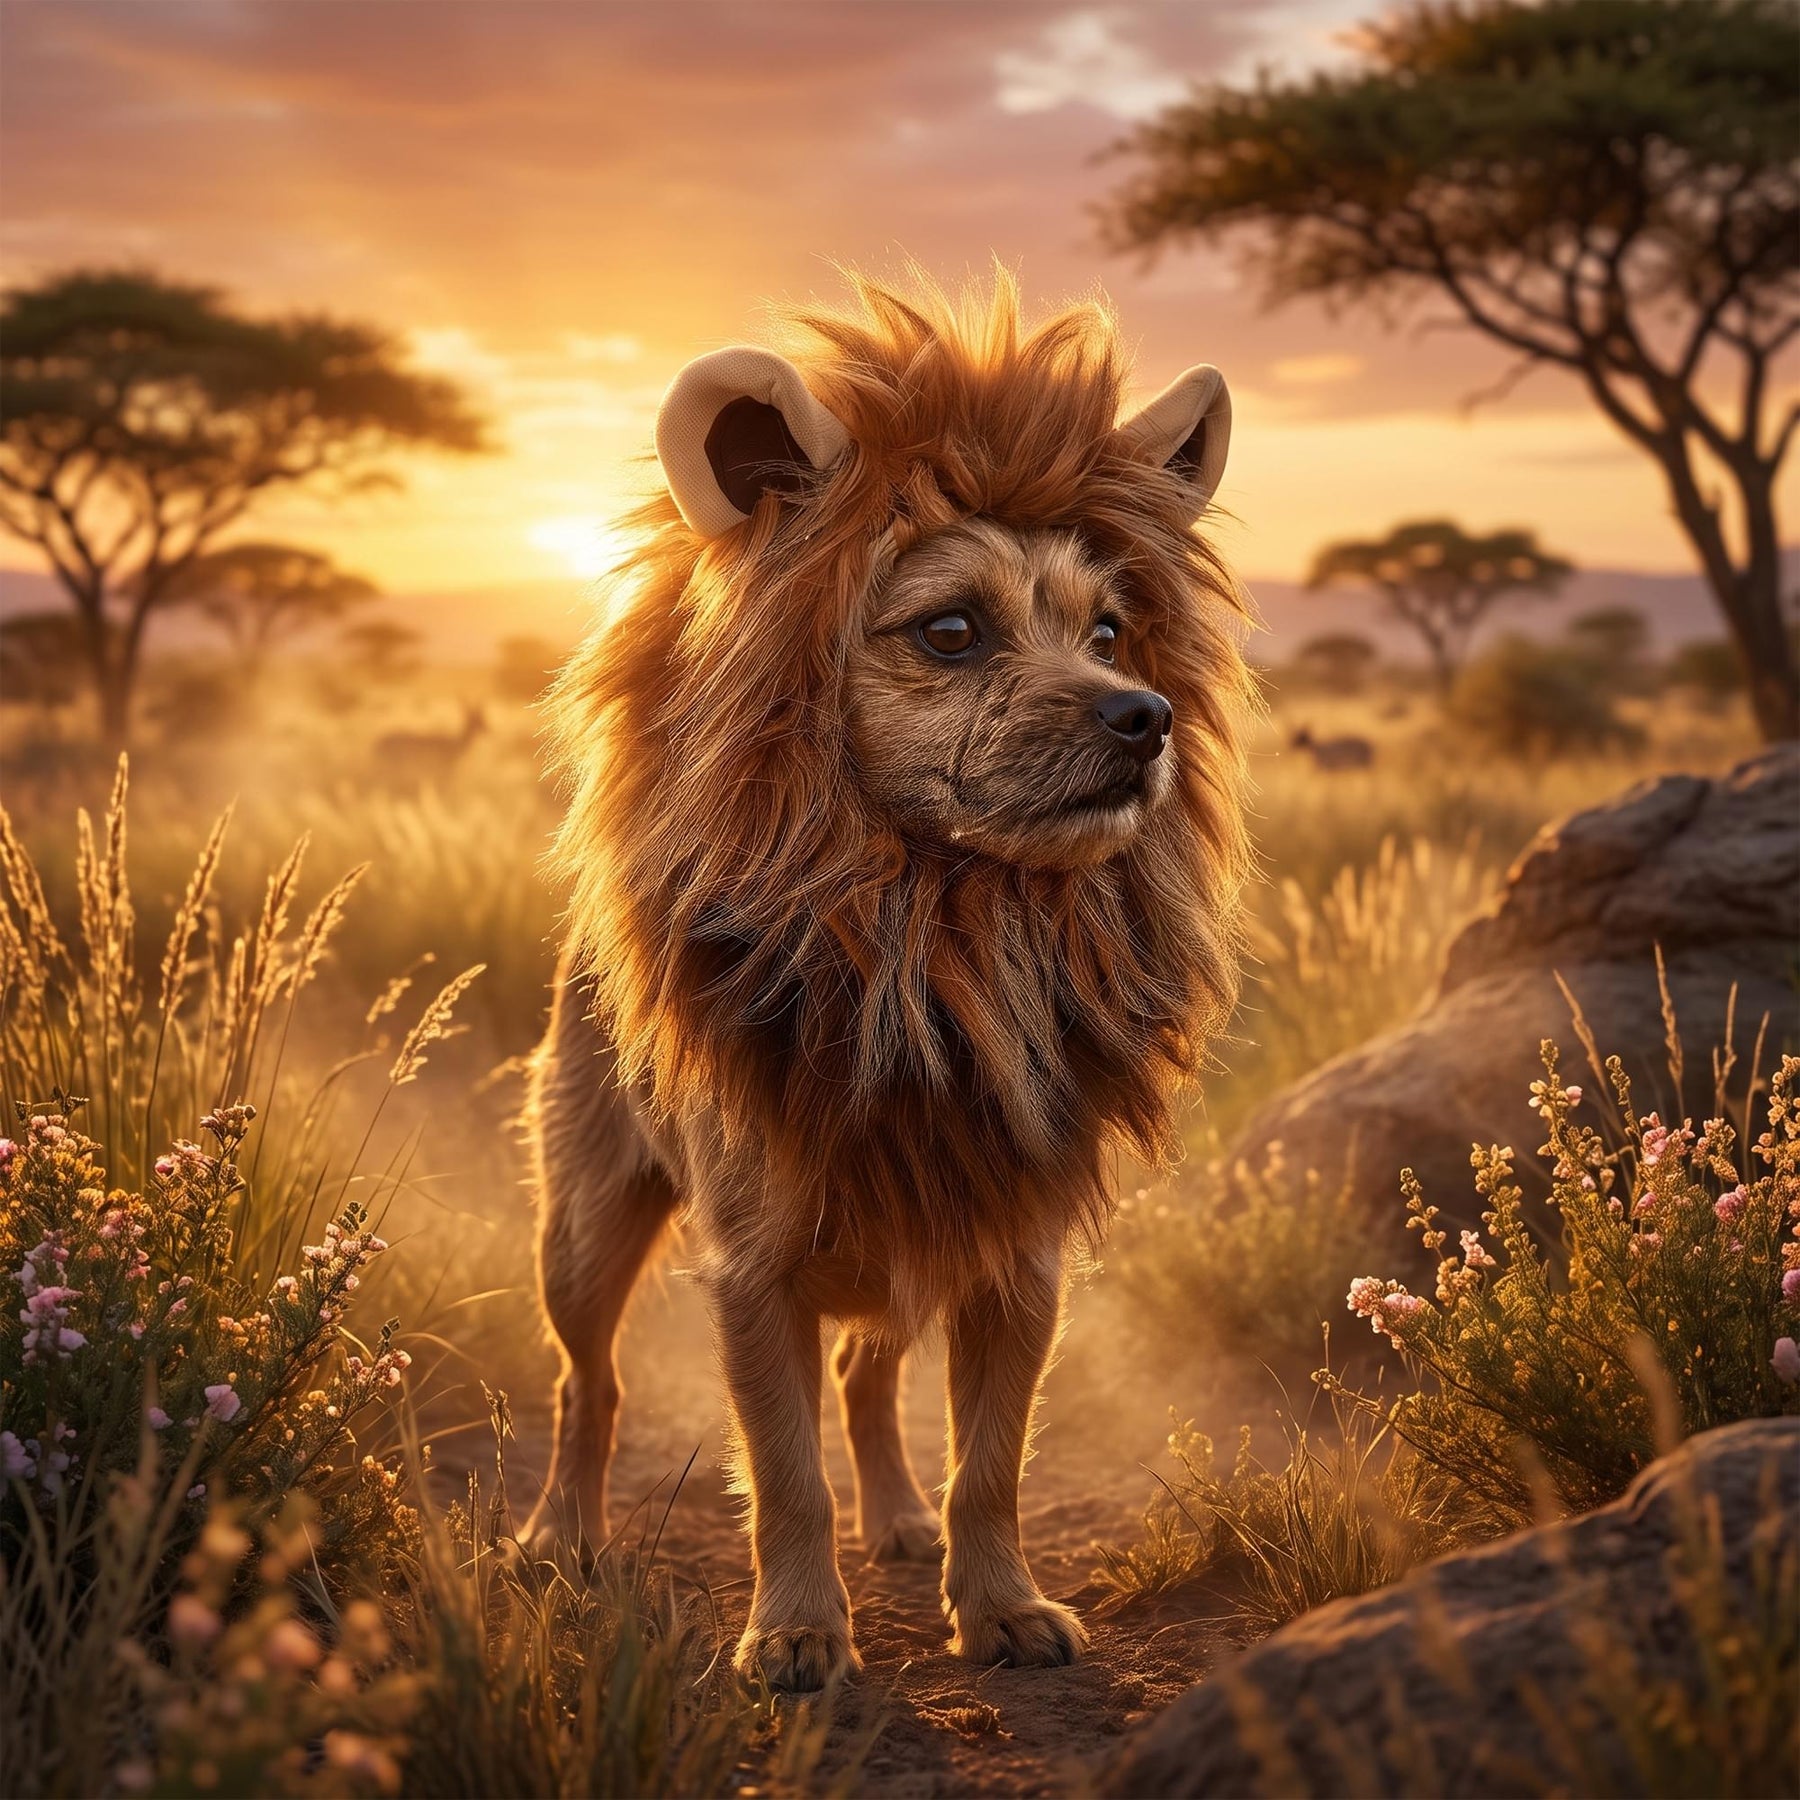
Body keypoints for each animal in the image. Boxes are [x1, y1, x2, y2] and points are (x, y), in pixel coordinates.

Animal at [525, 270, 1254, 1693]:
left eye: (1109, 631)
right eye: (952, 630)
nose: (1146, 718)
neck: (935, 942)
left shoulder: (1010, 1246)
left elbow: (992, 1466)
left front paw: (1002, 1605)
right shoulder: (756, 1269)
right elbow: (785, 1475)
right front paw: (799, 1633)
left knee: (868, 1378)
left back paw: (903, 1523)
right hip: (583, 1229)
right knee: (589, 1383)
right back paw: (561, 1541)